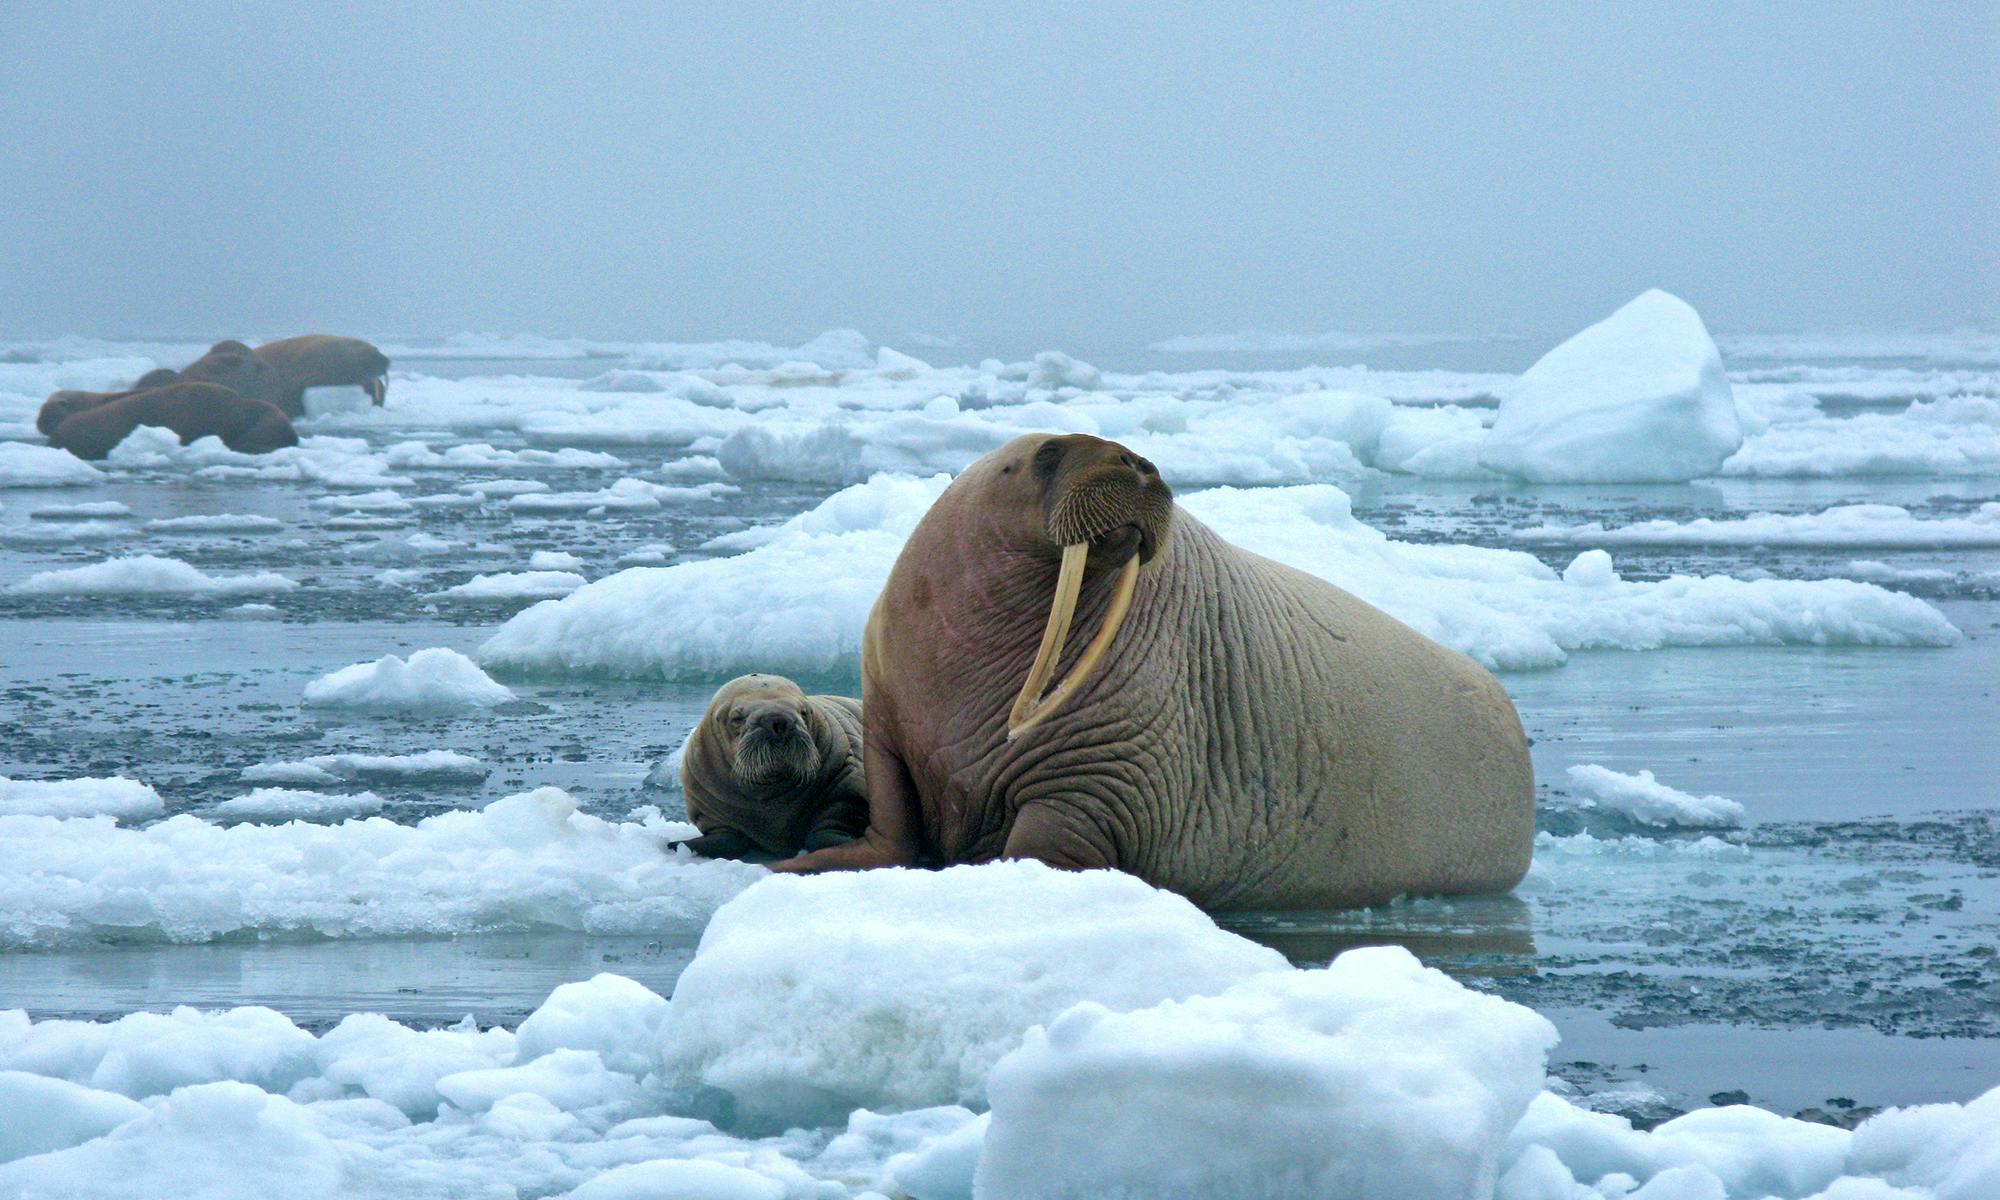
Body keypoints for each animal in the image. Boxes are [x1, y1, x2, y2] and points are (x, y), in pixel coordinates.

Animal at [672, 676, 868, 864]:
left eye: (804, 712)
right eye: (737, 718)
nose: (779, 720)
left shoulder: (847, 778)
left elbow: (830, 824)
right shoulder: (710, 814)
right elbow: (728, 840)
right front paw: (675, 844)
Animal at [780, 432, 1528, 908]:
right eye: (1048, 453)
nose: (1138, 463)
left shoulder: (1103, 772)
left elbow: (1048, 842)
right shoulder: (888, 718)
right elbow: (893, 819)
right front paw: (801, 864)